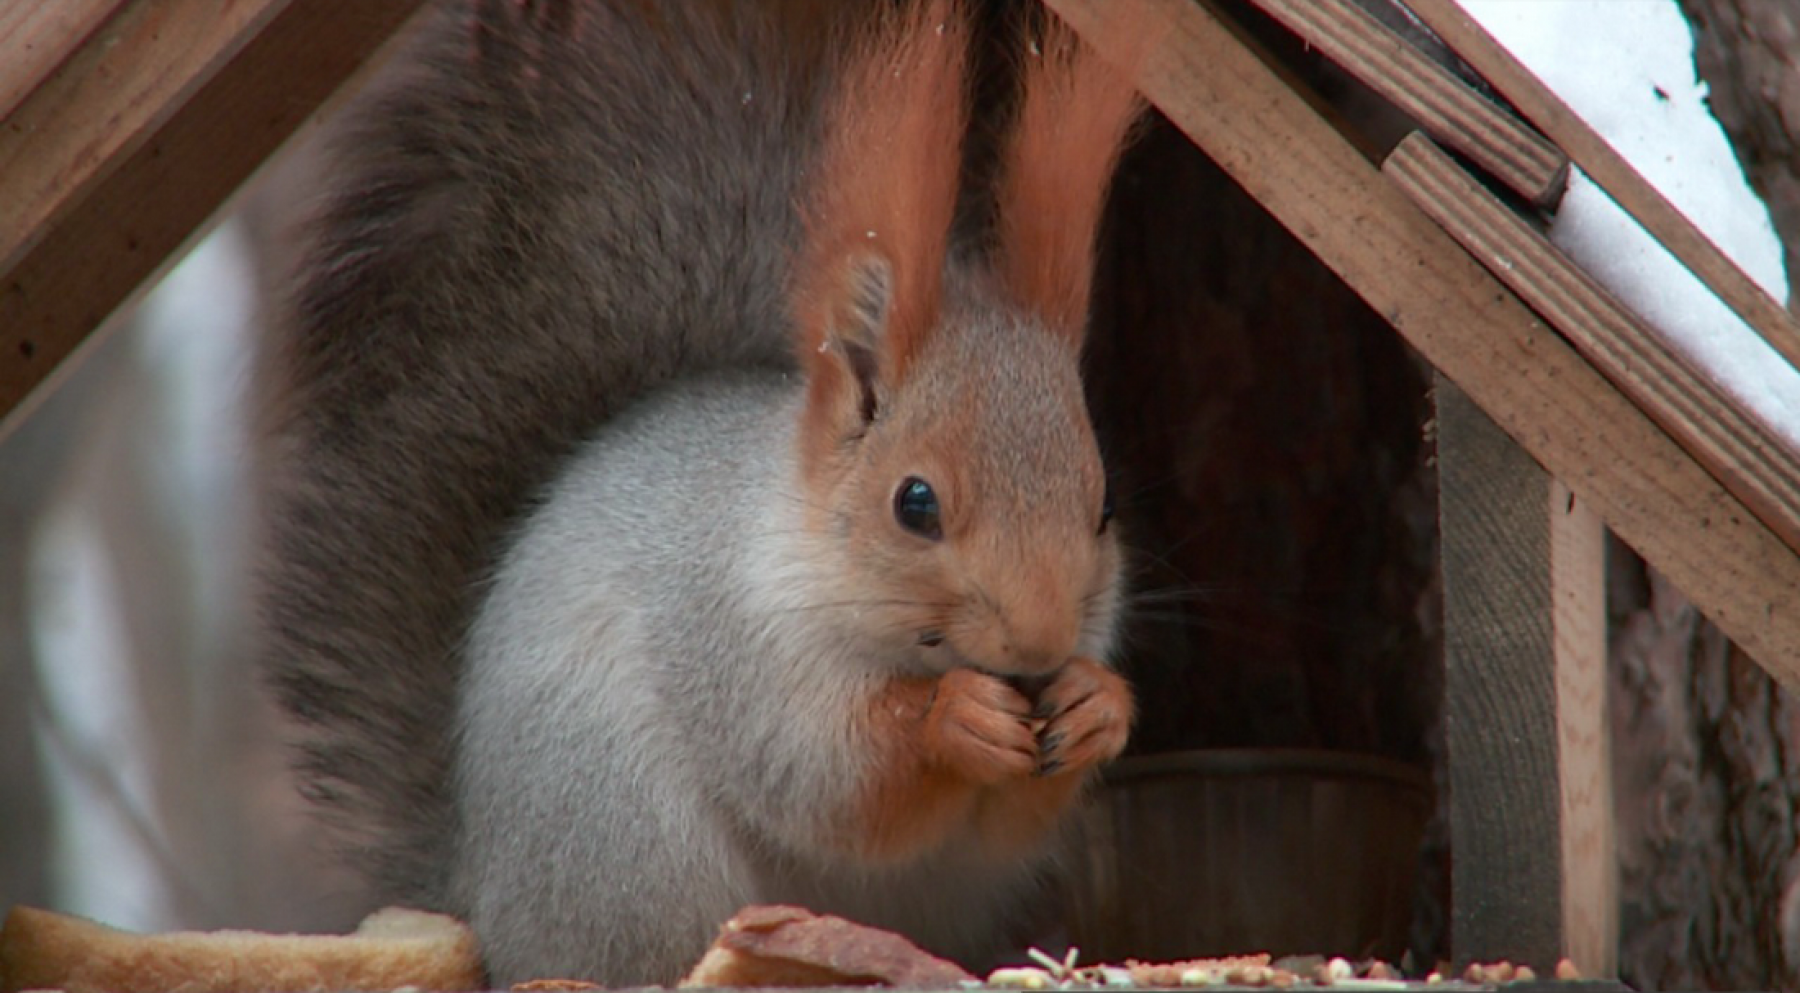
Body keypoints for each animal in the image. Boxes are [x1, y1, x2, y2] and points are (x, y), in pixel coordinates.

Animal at [257, 0, 1137, 978]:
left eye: (1105, 505)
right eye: (915, 504)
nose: (1040, 646)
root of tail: (481, 897)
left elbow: (1003, 829)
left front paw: (1099, 704)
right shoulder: (730, 642)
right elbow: (829, 781)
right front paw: (954, 715)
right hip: (625, 838)